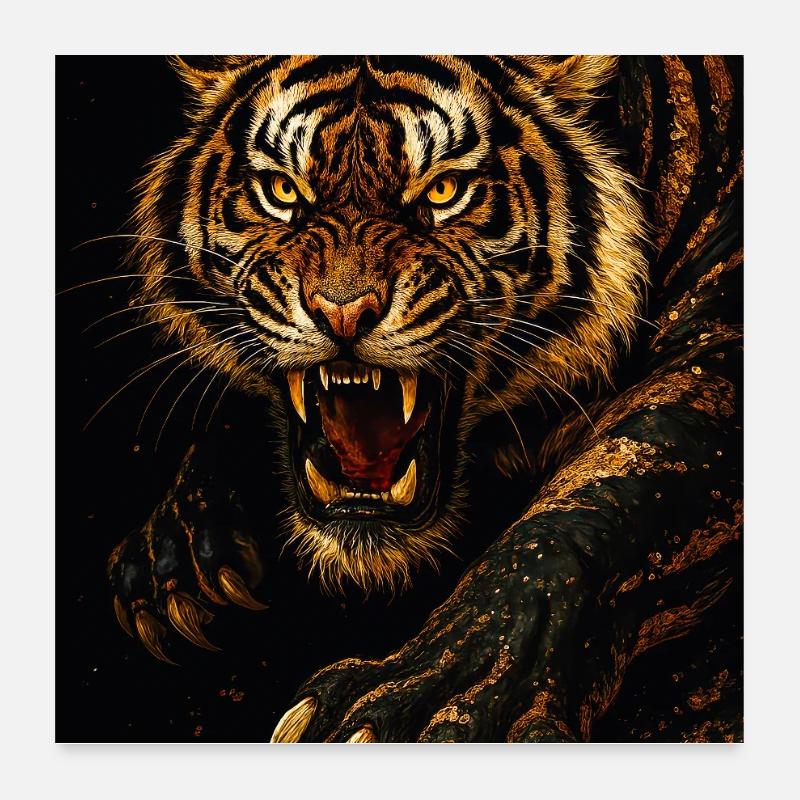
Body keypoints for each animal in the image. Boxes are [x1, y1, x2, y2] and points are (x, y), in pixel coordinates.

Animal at [107, 55, 743, 742]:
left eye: (443, 192)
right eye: (281, 192)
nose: (342, 310)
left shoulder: (717, 343)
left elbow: (601, 503)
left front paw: (430, 693)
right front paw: (177, 559)